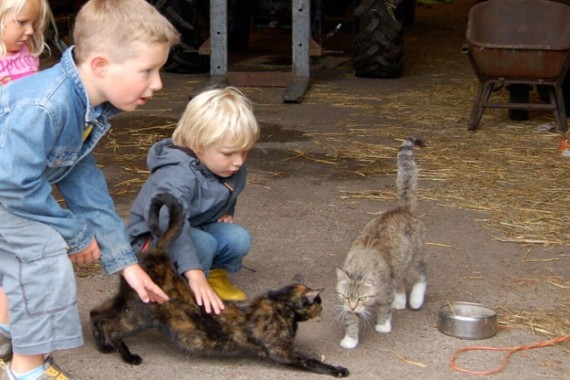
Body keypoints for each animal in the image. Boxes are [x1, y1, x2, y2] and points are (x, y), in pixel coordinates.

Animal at [91, 194, 348, 378]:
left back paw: (101, 345)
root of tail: (158, 257)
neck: (280, 303)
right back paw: (128, 356)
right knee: (113, 327)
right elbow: (308, 361)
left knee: (97, 312)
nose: (324, 308)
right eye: (319, 302)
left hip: (126, 302)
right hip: (140, 315)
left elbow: (306, 354)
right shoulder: (280, 352)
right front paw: (337, 369)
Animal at [336, 137, 424, 350]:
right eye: (346, 297)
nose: (353, 306)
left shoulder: (385, 290)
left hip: (415, 259)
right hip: (400, 264)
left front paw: (383, 325)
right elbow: (351, 320)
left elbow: (385, 308)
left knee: (421, 276)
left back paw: (416, 300)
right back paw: (400, 301)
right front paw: (351, 339)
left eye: (362, 298)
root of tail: (402, 208)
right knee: (401, 281)